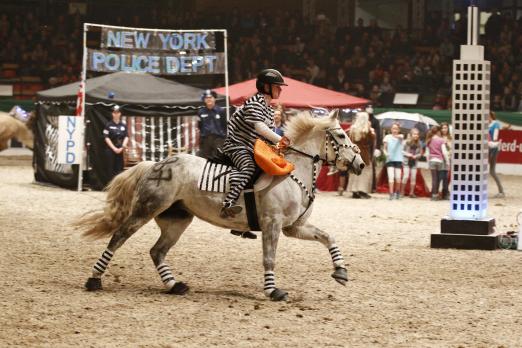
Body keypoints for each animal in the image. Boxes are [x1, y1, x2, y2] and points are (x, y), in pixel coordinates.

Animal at [75, 110, 364, 300]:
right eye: (341, 135)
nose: (360, 164)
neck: (293, 173)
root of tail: (156, 164)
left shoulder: (293, 227)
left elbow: (328, 237)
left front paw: (341, 271)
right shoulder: (272, 224)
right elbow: (269, 258)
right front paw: (273, 290)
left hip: (177, 219)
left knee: (157, 251)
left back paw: (174, 285)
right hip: (146, 209)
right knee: (119, 237)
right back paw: (93, 280)